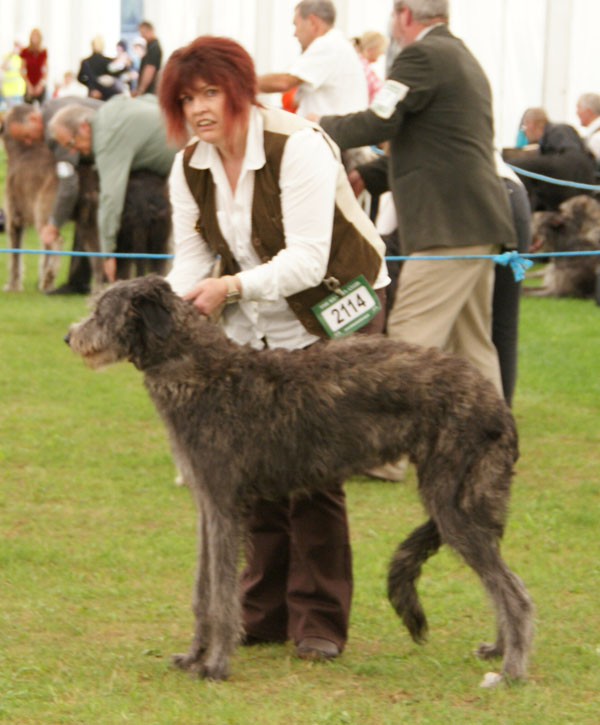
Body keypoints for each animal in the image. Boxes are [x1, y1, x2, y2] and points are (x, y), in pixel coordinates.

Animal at [64, 274, 536, 688]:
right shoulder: (207, 504)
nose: (70, 337)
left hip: (452, 498)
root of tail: (496, 401)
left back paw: (511, 670)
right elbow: (203, 590)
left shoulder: (224, 505)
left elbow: (221, 595)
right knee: (502, 580)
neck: (199, 369)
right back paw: (499, 648)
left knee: (512, 590)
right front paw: (193, 655)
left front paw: (215, 665)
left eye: (102, 311)